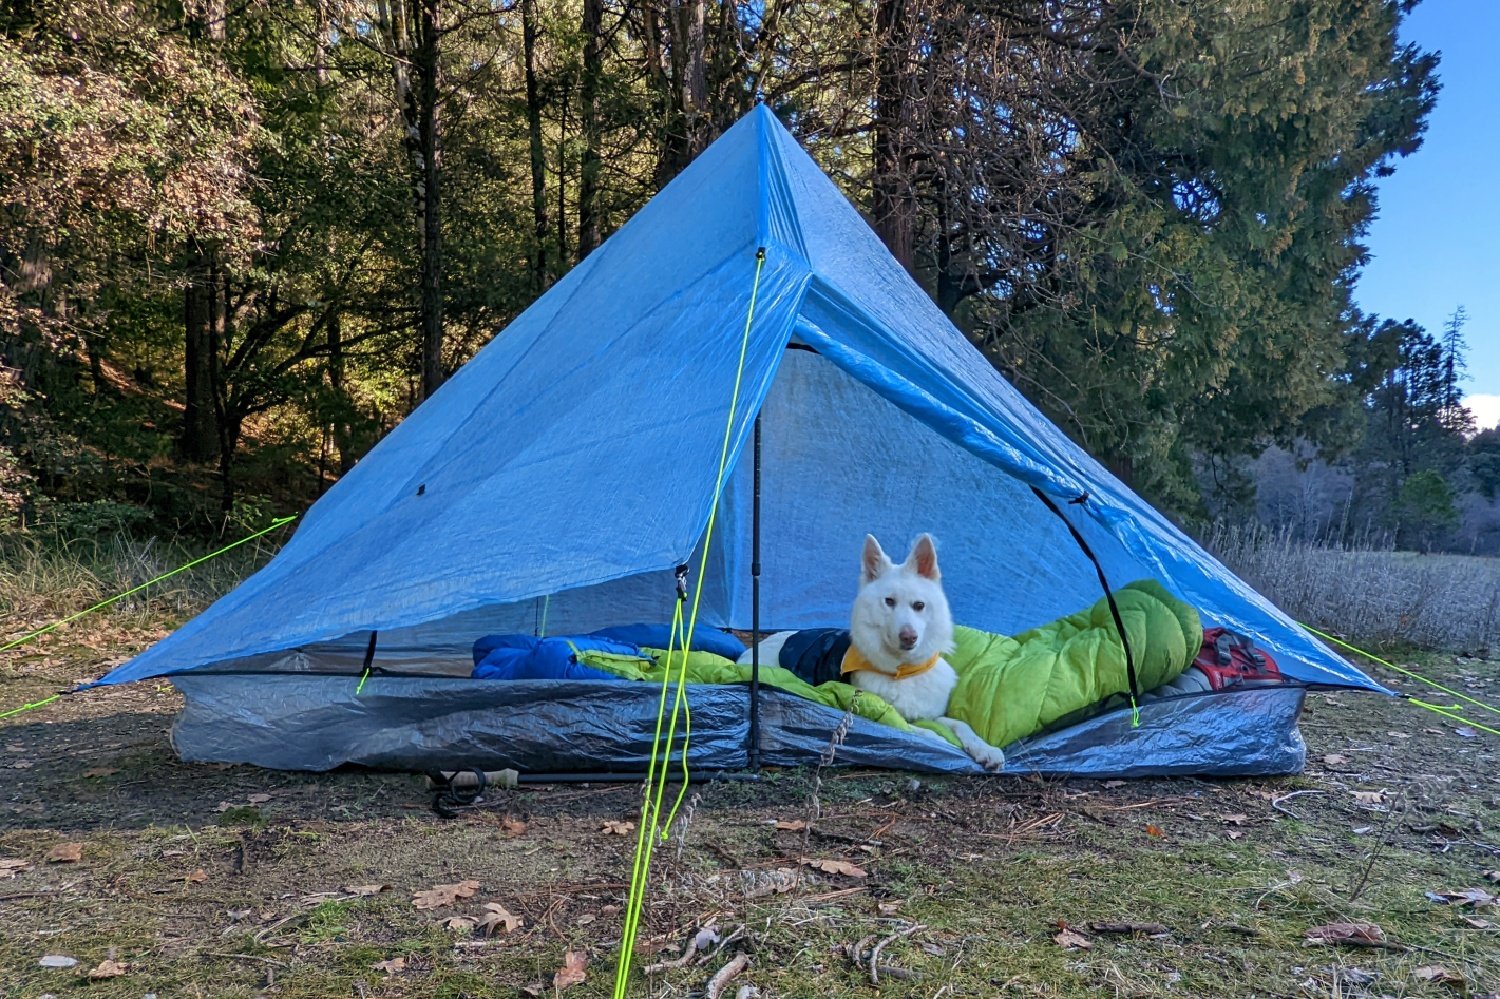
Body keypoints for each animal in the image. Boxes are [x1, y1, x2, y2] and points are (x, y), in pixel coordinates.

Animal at [741, 534, 1002, 765]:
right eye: (889, 602)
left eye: (919, 605)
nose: (909, 637)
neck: (903, 670)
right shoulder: (886, 717)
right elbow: (919, 731)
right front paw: (943, 743)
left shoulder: (933, 714)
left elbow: (961, 725)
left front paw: (984, 749)